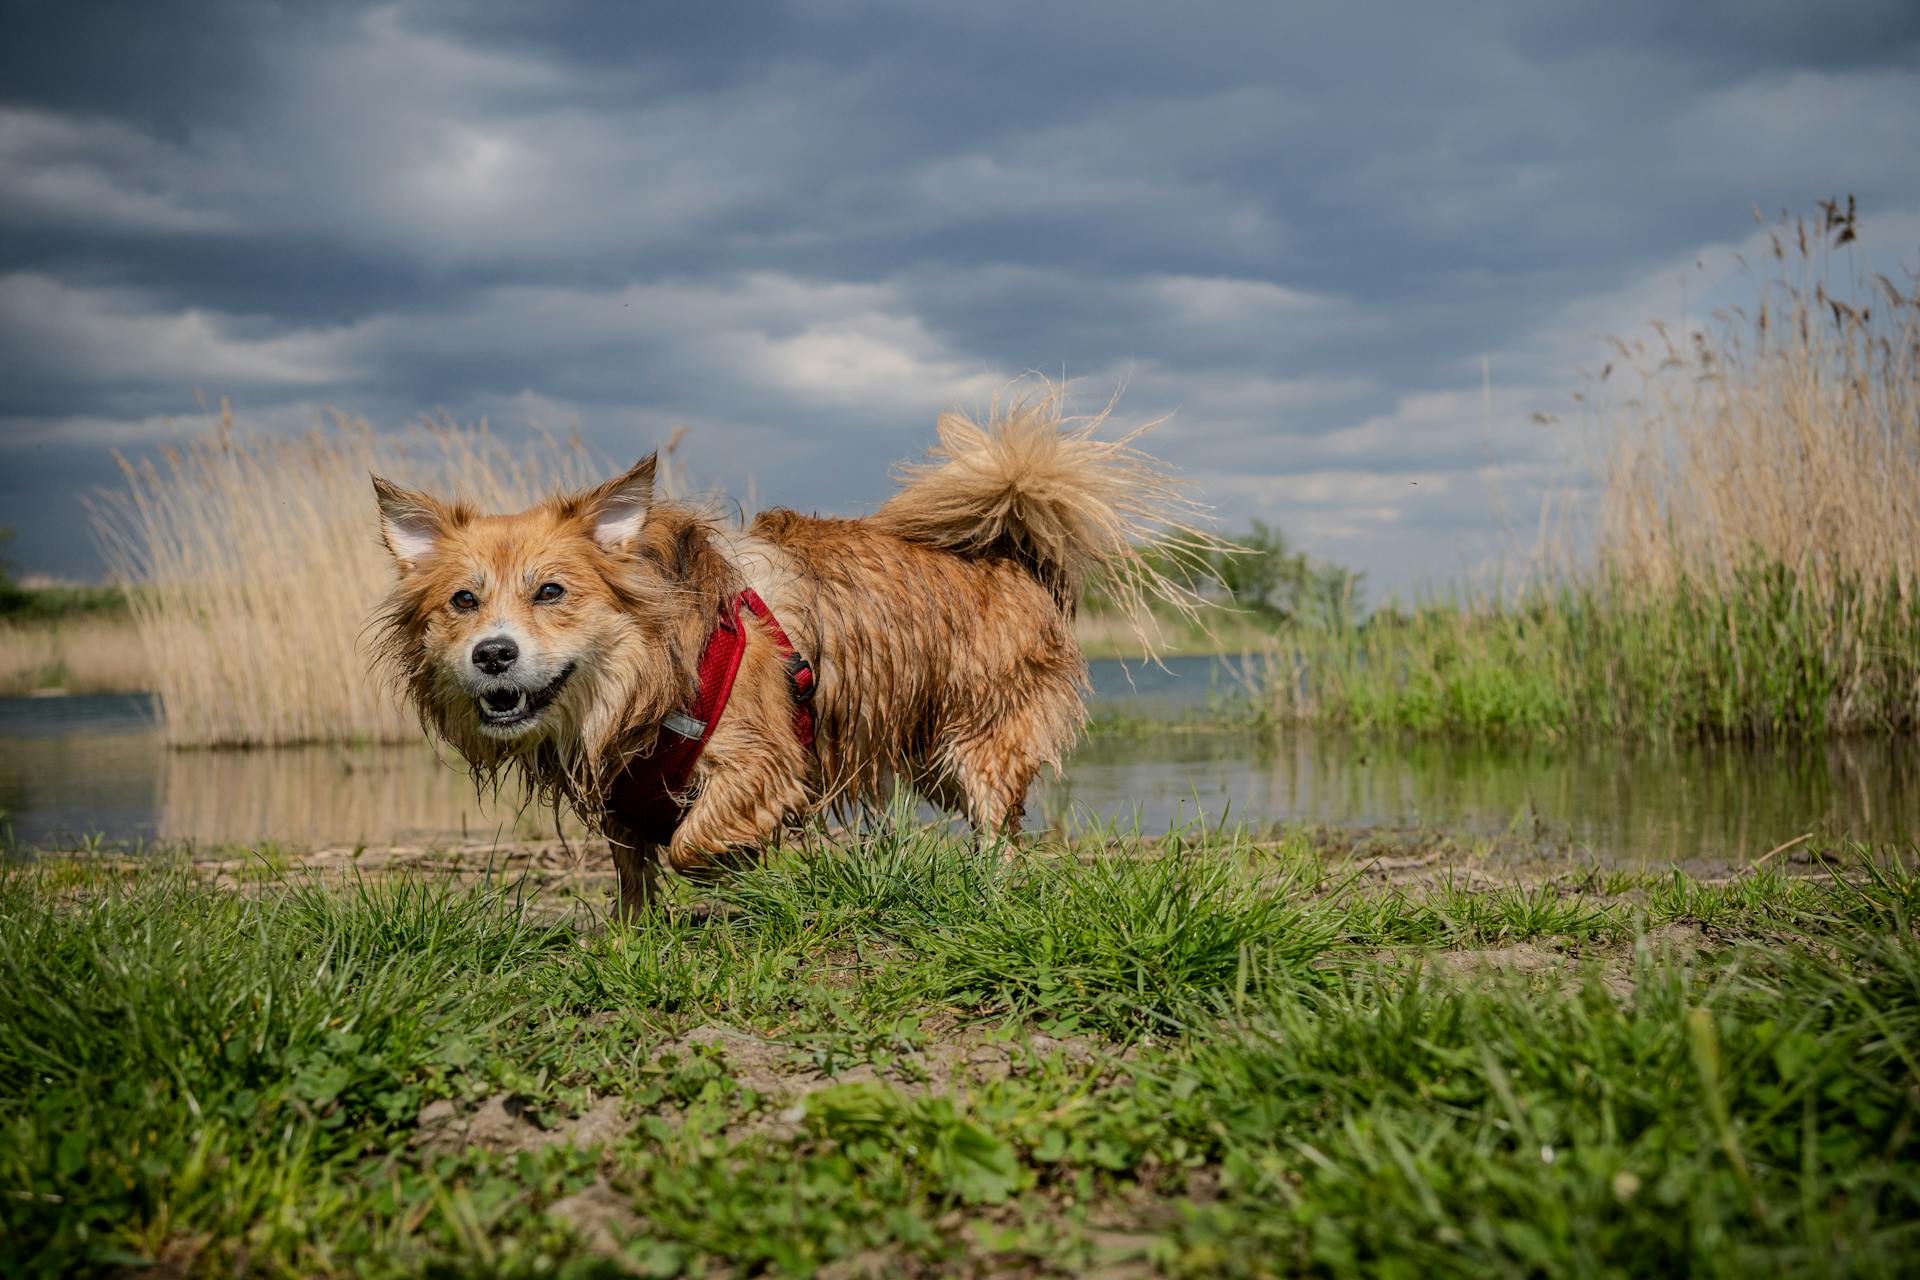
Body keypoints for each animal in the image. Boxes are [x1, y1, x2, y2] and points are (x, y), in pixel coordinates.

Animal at [372, 385, 1205, 917]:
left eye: (550, 591)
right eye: (464, 602)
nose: (493, 654)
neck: (645, 677)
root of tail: (1010, 556)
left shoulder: (763, 762)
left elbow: (692, 844)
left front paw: (751, 866)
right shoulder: (621, 797)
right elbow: (635, 878)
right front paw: (632, 944)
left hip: (978, 741)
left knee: (1001, 826)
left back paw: (990, 890)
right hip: (932, 753)